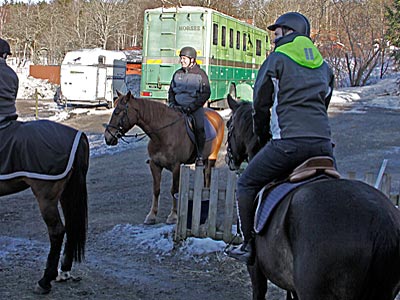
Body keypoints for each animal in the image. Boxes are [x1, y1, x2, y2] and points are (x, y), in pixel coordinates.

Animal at [0, 118, 88, 294]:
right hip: (67, 193)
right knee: (71, 226)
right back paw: (64, 272)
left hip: (46, 198)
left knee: (57, 231)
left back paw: (45, 280)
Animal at [104, 91, 225, 225]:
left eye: (118, 112)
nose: (107, 137)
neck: (162, 135)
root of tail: (216, 115)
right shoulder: (155, 165)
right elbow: (156, 190)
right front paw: (151, 215)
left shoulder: (176, 167)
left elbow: (174, 190)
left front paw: (173, 216)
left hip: (211, 158)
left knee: (208, 177)